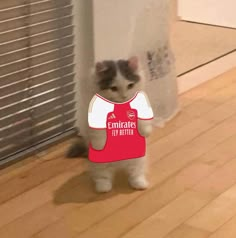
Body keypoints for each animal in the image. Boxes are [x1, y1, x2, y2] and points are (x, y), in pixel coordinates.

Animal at [67, 56, 154, 192]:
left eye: (130, 85)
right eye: (113, 88)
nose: (124, 96)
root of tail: (119, 164)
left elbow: (143, 122)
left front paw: (145, 133)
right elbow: (100, 135)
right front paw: (101, 144)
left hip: (138, 160)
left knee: (136, 173)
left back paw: (139, 184)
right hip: (100, 164)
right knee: (103, 176)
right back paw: (103, 188)